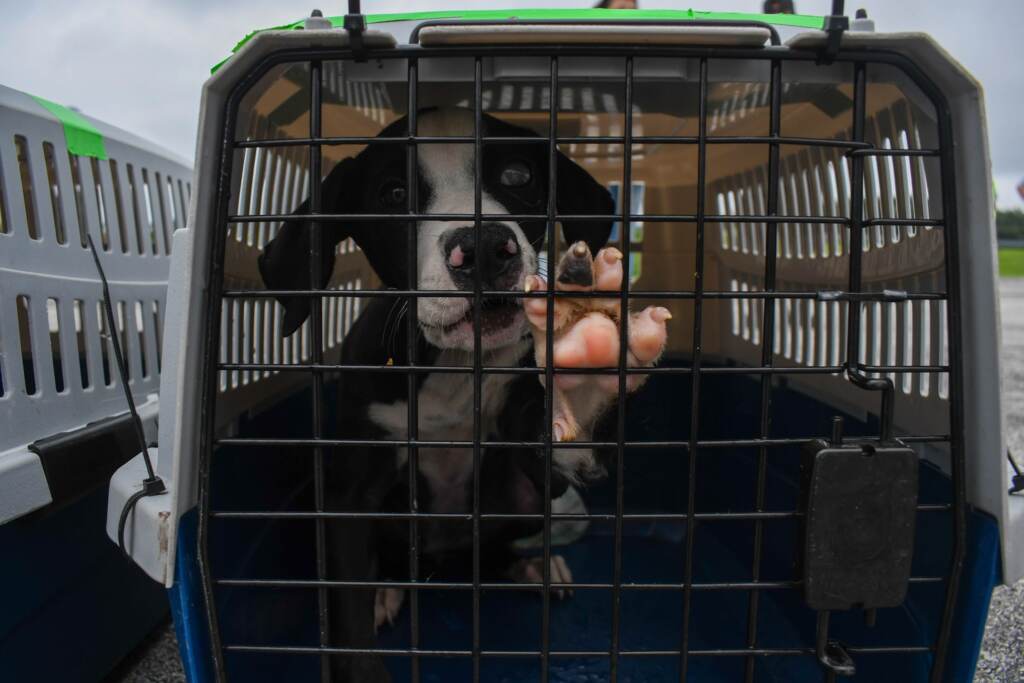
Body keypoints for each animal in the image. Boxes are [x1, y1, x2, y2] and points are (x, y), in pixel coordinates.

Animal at [260, 108, 667, 683]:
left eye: (518, 175)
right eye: (393, 193)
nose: (483, 248)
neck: (451, 363)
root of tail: (445, 558)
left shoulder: (531, 448)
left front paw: (584, 363)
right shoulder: (349, 495)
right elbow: (350, 615)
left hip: (525, 503)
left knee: (496, 546)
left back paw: (532, 564)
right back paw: (387, 590)